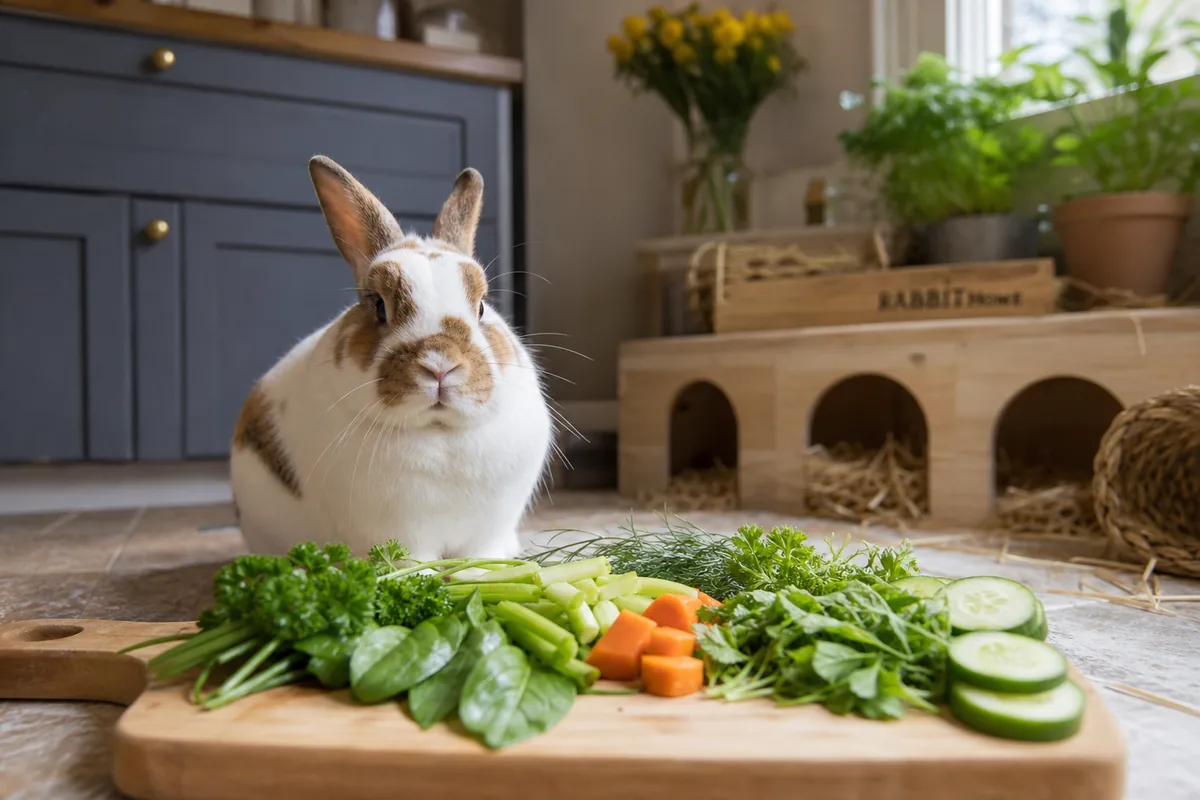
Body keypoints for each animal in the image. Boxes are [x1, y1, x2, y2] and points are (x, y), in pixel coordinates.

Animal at [229, 155, 553, 562]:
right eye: (379, 306)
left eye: (481, 307)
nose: (440, 365)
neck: (439, 432)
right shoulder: (400, 535)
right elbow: (415, 566)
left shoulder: (487, 531)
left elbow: (481, 559)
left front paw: (484, 572)